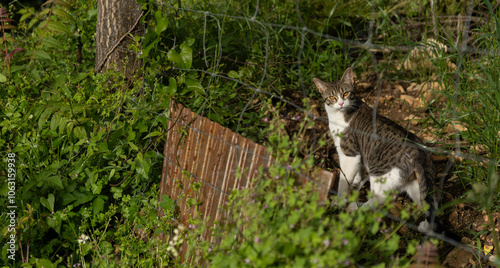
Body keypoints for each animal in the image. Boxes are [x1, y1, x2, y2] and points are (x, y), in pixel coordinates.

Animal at [312, 68, 442, 233]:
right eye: (332, 97)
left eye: (346, 93)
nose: (340, 103)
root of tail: (417, 152)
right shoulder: (359, 153)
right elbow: (359, 169)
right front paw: (357, 179)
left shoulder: (349, 153)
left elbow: (344, 180)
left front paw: (339, 202)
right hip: (417, 183)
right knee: (430, 204)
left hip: (380, 174)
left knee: (379, 200)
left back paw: (357, 207)